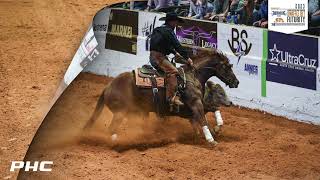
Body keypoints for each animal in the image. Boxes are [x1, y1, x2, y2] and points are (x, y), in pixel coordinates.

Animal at [84, 48, 239, 145]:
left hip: (136, 112)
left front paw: (216, 128)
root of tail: (107, 87)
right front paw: (211, 140)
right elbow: (203, 120)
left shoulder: (194, 109)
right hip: (120, 112)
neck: (192, 76)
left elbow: (213, 110)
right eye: (228, 67)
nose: (236, 82)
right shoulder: (196, 105)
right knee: (111, 129)